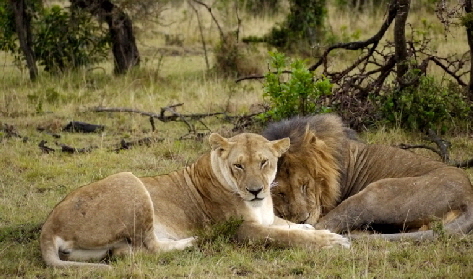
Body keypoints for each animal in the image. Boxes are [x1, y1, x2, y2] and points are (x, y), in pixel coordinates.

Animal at [40, 133, 348, 270]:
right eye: (238, 165)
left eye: (264, 162)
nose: (255, 190)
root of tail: (48, 226)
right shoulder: (241, 231)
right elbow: (285, 236)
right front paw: (331, 241)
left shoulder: (269, 217)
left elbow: (289, 226)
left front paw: (314, 228)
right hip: (131, 181)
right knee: (149, 248)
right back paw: (192, 243)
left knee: (126, 253)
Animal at [262, 114, 472, 241]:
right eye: (280, 194)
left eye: (305, 185)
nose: (302, 219)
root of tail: (469, 195)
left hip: (374, 194)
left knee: (324, 226)